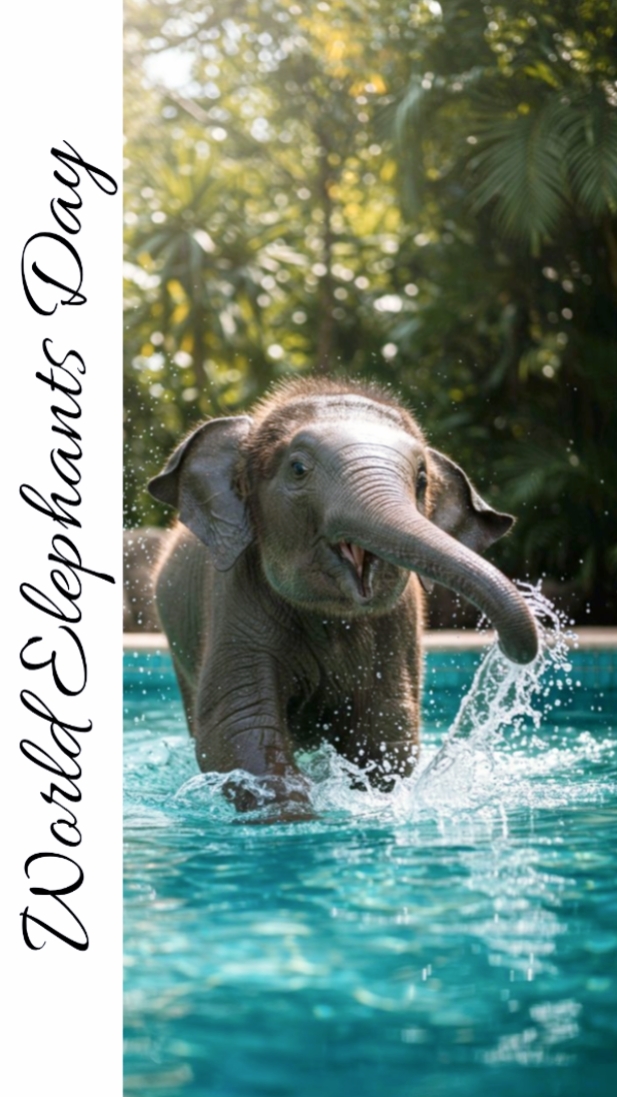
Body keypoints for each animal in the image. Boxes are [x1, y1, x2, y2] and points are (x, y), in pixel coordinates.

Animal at [149, 377, 538, 817]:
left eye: (422, 480)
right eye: (298, 468)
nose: (512, 650)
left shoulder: (400, 626)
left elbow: (387, 730)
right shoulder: (235, 596)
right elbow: (239, 726)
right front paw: (292, 816)